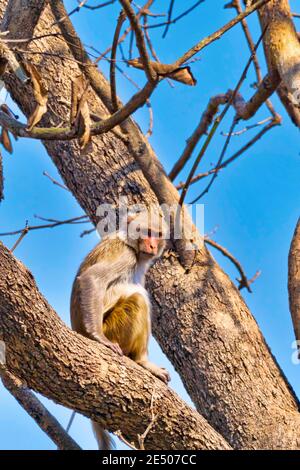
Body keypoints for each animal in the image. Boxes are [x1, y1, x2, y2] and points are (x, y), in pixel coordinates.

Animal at [69, 208, 170, 448]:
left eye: (158, 234)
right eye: (147, 232)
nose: (152, 246)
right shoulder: (126, 256)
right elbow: (92, 279)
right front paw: (98, 338)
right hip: (114, 328)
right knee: (139, 299)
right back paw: (142, 361)